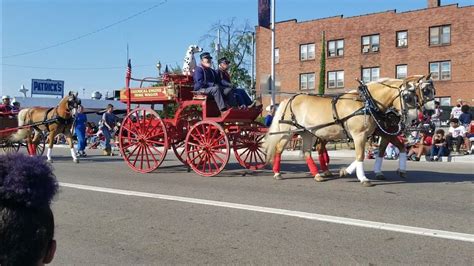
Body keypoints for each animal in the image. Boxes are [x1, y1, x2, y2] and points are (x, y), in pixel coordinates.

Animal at [262, 76, 426, 187]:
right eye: (407, 97)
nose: (415, 118)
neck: (366, 103)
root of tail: (288, 100)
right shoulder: (360, 135)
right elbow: (360, 155)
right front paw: (363, 178)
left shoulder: (374, 135)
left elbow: (375, 152)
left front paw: (346, 171)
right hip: (288, 131)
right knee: (279, 148)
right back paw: (277, 172)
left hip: (307, 132)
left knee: (307, 152)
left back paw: (317, 174)